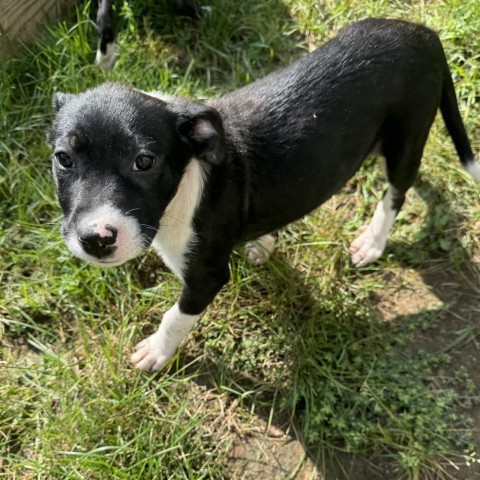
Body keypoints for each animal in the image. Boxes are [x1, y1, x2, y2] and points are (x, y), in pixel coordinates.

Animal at [49, 18, 480, 372]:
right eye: (63, 159)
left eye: (144, 161)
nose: (96, 239)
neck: (187, 178)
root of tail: (425, 34)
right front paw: (262, 242)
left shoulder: (207, 277)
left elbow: (175, 316)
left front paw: (156, 351)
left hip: (408, 133)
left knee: (397, 193)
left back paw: (371, 242)